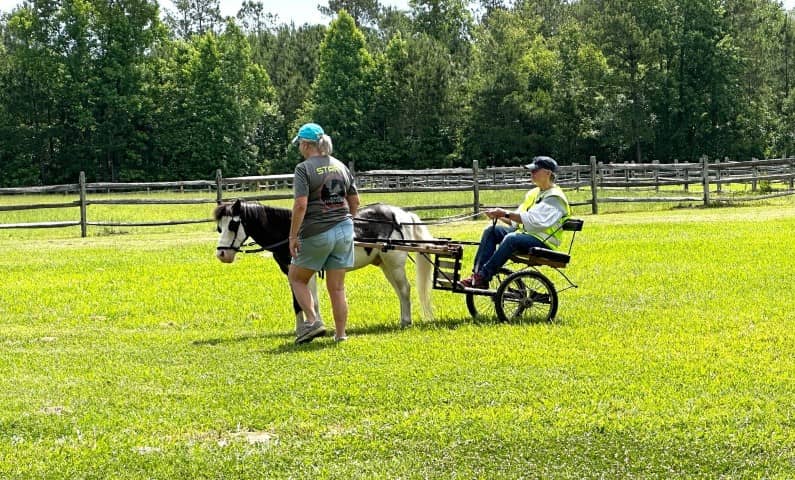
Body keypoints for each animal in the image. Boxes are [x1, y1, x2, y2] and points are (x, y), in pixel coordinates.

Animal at [213, 200, 436, 330]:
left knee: (405, 289)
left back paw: (406, 321)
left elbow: (312, 302)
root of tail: (402, 215)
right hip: (385, 265)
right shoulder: (291, 273)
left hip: (395, 264)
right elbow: (298, 302)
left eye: (233, 224)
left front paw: (317, 325)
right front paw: (301, 329)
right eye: (218, 227)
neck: (291, 233)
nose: (222, 254)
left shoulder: (308, 273)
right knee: (400, 291)